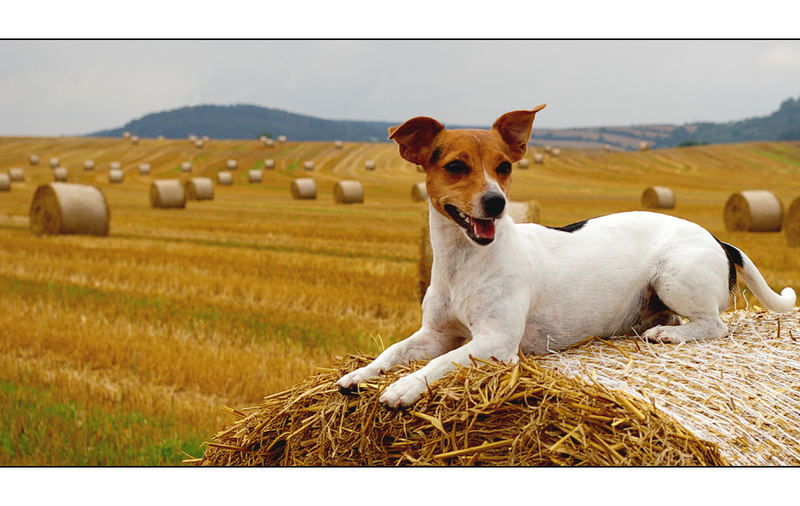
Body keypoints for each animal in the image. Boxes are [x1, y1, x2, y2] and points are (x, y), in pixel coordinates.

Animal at [334, 105, 796, 410]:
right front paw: (358, 376)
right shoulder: (434, 333)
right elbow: (392, 352)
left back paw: (669, 335)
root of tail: (720, 239)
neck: (463, 261)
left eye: (504, 167)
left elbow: (441, 364)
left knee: (713, 326)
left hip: (674, 277)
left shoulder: (495, 342)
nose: (497, 203)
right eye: (455, 166)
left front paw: (405, 387)